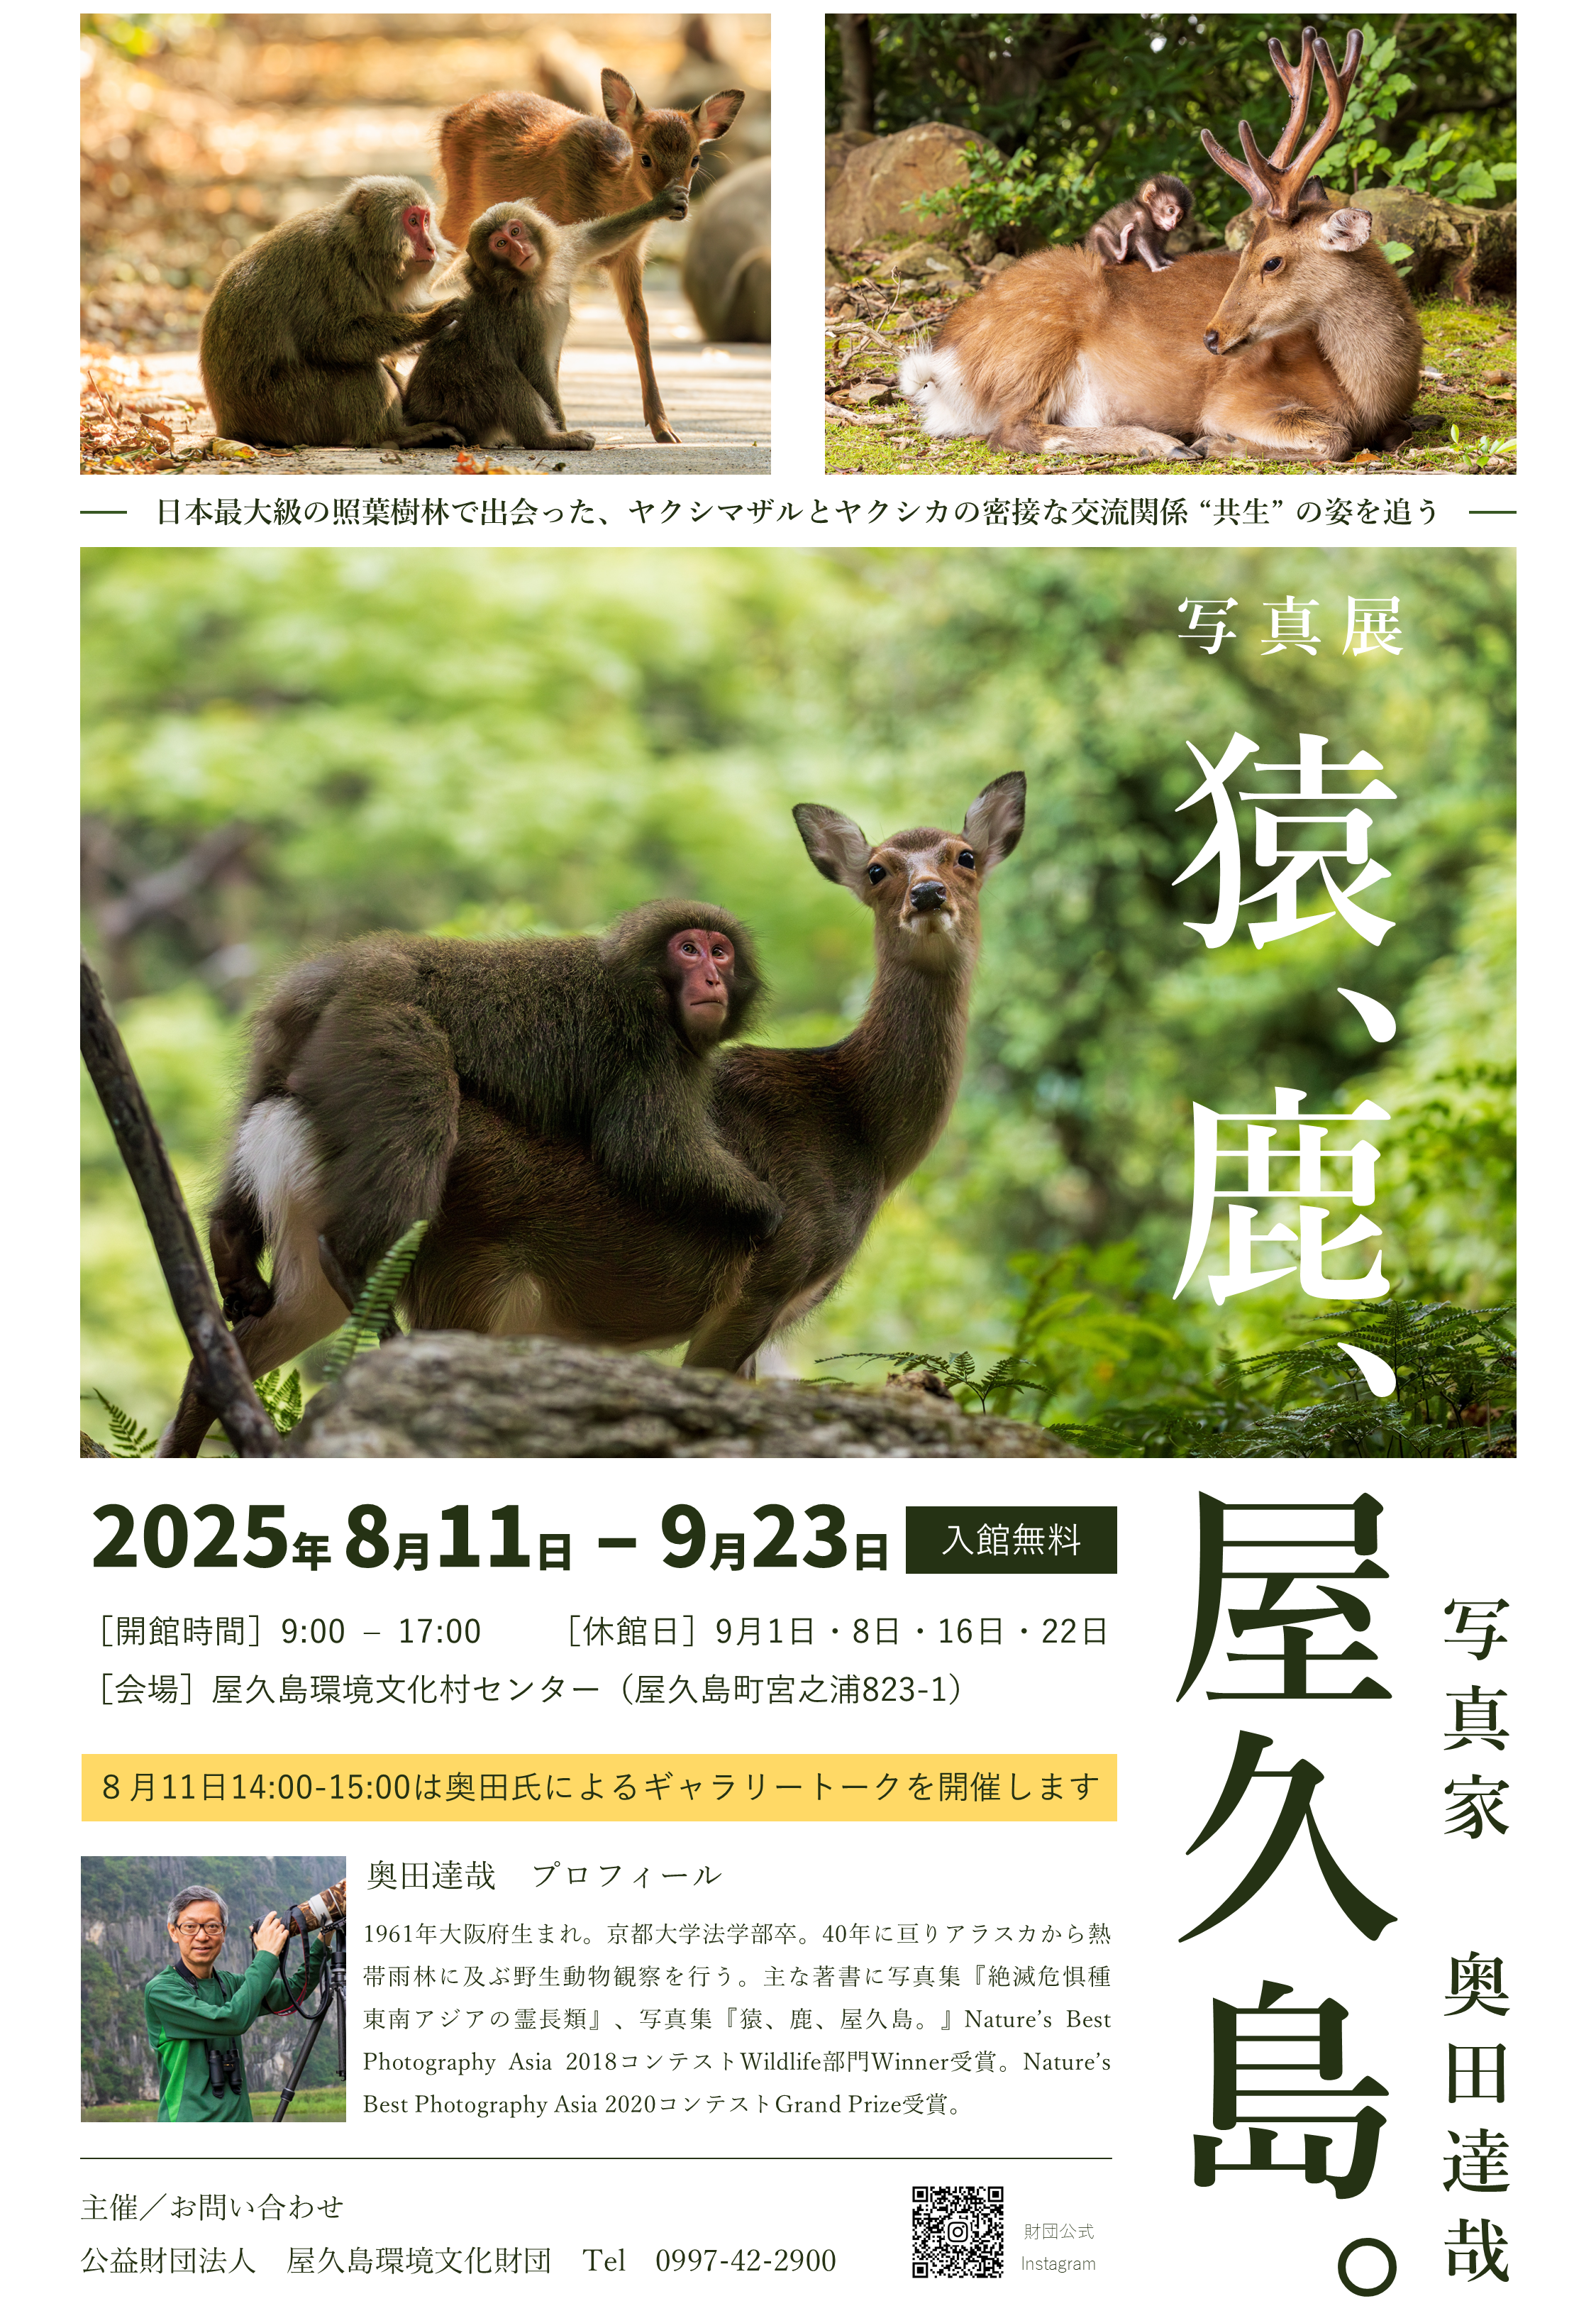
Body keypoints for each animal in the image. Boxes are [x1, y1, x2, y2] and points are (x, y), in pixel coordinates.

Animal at [160, 902, 780, 1455]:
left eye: (720, 952)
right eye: (689, 949)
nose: (710, 977)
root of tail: (337, 972)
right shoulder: (651, 1050)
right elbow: (649, 1153)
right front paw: (762, 1210)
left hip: (287, 1047)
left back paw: (230, 1239)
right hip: (379, 1027)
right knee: (421, 1107)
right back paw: (353, 1263)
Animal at [199, 177, 466, 449]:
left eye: (426, 221)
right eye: (412, 221)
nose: (431, 247)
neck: (355, 247)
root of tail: (229, 424)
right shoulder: (331, 268)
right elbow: (329, 340)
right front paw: (431, 322)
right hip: (286, 408)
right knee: (358, 368)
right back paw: (391, 435)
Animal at [405, 189, 690, 450]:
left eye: (515, 231)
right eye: (500, 244)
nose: (521, 250)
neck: (531, 281)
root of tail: (414, 413)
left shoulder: (564, 254)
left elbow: (598, 238)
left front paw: (662, 204)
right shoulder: (525, 319)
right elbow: (534, 366)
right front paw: (560, 429)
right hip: (459, 406)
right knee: (499, 373)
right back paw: (548, 439)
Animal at [436, 69, 743, 444]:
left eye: (695, 159)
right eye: (645, 157)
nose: (680, 207)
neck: (605, 192)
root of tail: (451, 115)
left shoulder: (629, 256)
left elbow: (640, 324)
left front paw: (663, 427)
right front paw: (559, 422)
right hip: (459, 207)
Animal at [1084, 175, 1193, 272]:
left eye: (1179, 216)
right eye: (1171, 211)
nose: (1174, 223)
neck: (1149, 215)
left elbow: (1155, 249)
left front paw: (1165, 260)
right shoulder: (1141, 216)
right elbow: (1141, 240)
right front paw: (1156, 267)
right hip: (1095, 250)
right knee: (1098, 229)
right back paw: (1120, 253)